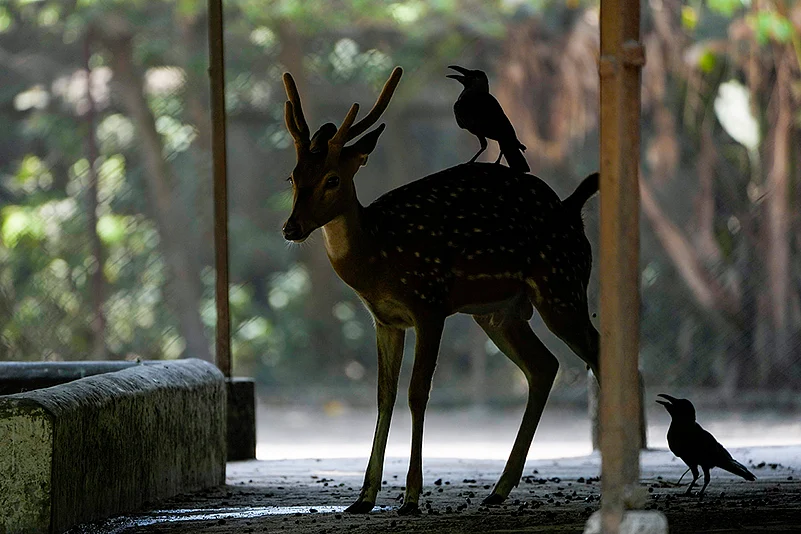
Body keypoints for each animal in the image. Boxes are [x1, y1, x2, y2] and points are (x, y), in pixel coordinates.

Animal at [280, 66, 600, 515]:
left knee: (597, 350)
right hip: (499, 312)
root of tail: (574, 211)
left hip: (562, 285)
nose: (291, 227)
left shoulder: (429, 303)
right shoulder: (385, 319)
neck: (378, 256)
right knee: (544, 365)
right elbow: (383, 395)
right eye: (292, 176)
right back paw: (498, 489)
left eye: (332, 179)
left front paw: (411, 497)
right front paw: (363, 497)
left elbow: (417, 393)